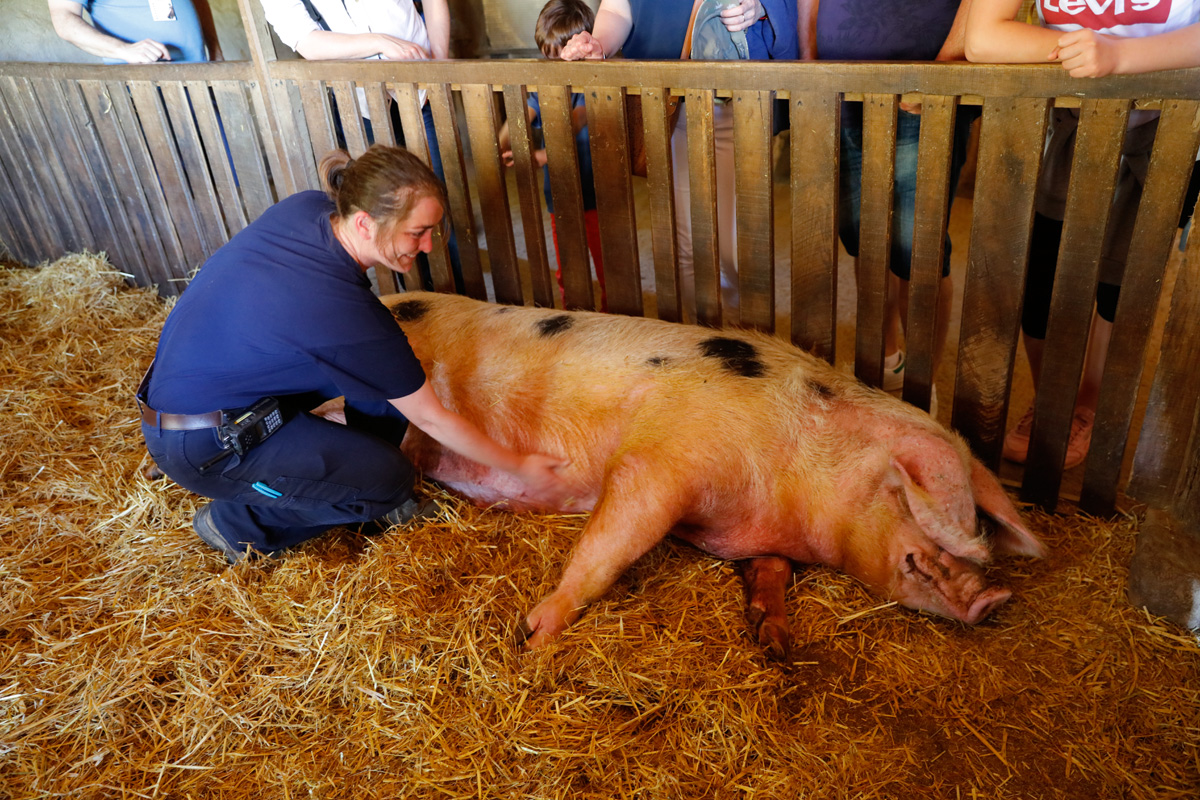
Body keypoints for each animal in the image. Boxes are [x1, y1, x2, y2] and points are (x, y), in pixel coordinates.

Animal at [384, 291, 1041, 652]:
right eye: (923, 498)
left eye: (978, 520)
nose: (996, 596)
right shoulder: (662, 458)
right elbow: (610, 541)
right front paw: (535, 636)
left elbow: (772, 572)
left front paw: (774, 640)